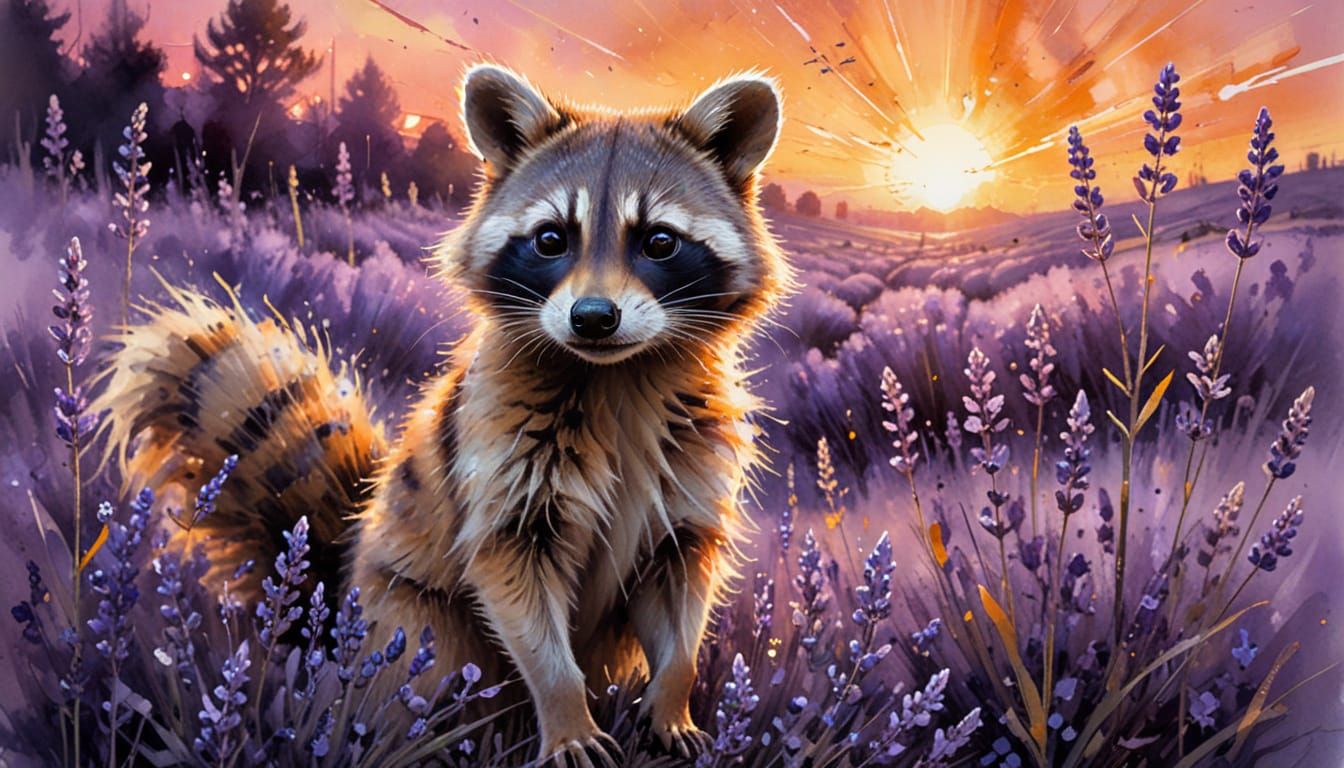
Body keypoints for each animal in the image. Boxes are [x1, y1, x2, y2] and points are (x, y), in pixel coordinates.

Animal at [97, 64, 790, 765]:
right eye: (551, 239)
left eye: (659, 241)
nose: (593, 318)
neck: (616, 373)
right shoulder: (503, 457)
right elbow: (516, 583)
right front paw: (567, 713)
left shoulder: (690, 469)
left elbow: (682, 588)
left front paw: (673, 696)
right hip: (411, 617)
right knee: (422, 671)